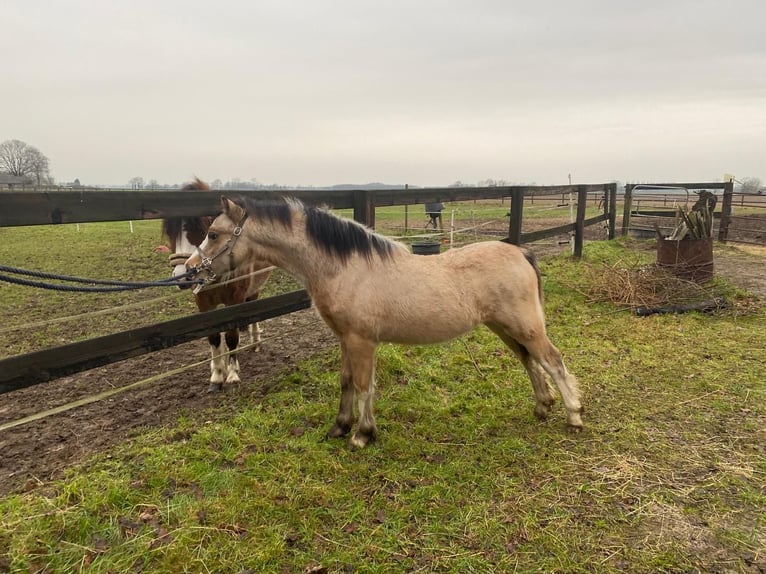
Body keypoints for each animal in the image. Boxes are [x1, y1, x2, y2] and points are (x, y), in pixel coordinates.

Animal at [159, 181, 272, 396]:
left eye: (200, 229)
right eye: (170, 233)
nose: (184, 276)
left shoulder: (235, 300)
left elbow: (231, 336)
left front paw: (233, 374)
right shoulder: (204, 303)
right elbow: (213, 337)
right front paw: (217, 375)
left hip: (253, 288)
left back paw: (255, 341)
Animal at [189, 198, 584, 450]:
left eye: (213, 234)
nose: (189, 271)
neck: (344, 268)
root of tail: (521, 252)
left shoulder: (362, 341)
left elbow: (365, 385)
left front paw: (363, 435)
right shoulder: (345, 339)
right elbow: (346, 382)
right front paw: (339, 427)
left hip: (525, 326)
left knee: (553, 361)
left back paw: (574, 416)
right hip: (504, 328)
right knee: (529, 361)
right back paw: (542, 407)